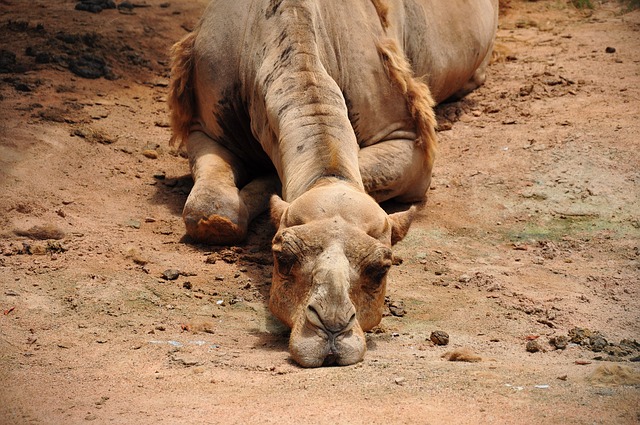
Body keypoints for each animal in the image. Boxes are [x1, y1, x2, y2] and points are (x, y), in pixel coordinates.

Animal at [168, 0, 498, 367]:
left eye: (380, 269)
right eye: (282, 258)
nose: (331, 328)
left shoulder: (408, 140)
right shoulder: (203, 125)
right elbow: (211, 212)